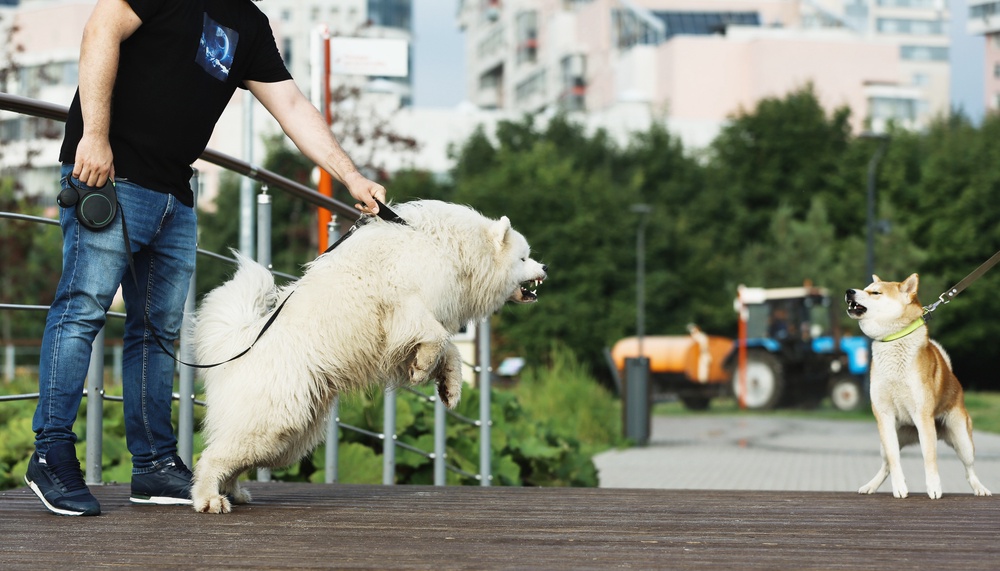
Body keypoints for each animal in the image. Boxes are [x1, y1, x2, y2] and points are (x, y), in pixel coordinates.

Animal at [188, 201, 548, 512]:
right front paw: (422, 370)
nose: (545, 267)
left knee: (233, 461)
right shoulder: (408, 310)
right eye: (524, 258)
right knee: (211, 457)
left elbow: (451, 350)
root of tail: (238, 345)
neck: (454, 251)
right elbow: (438, 338)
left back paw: (235, 493)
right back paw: (209, 499)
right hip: (271, 424)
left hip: (287, 437)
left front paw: (449, 387)